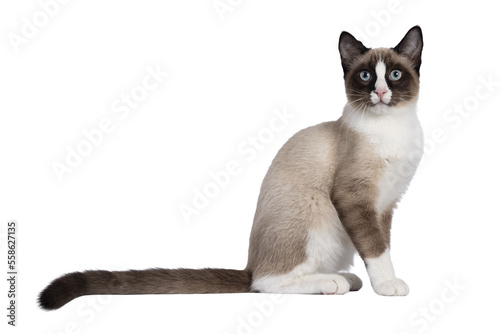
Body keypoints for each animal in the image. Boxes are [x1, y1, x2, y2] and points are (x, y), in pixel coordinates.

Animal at [39, 26, 424, 310]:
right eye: (365, 76)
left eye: (394, 75)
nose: (380, 92)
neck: (393, 128)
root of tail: (249, 264)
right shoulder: (355, 200)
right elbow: (376, 249)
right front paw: (388, 285)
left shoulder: (385, 206)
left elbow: (382, 244)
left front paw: (382, 280)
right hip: (319, 216)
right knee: (263, 283)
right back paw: (334, 282)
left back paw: (347, 278)